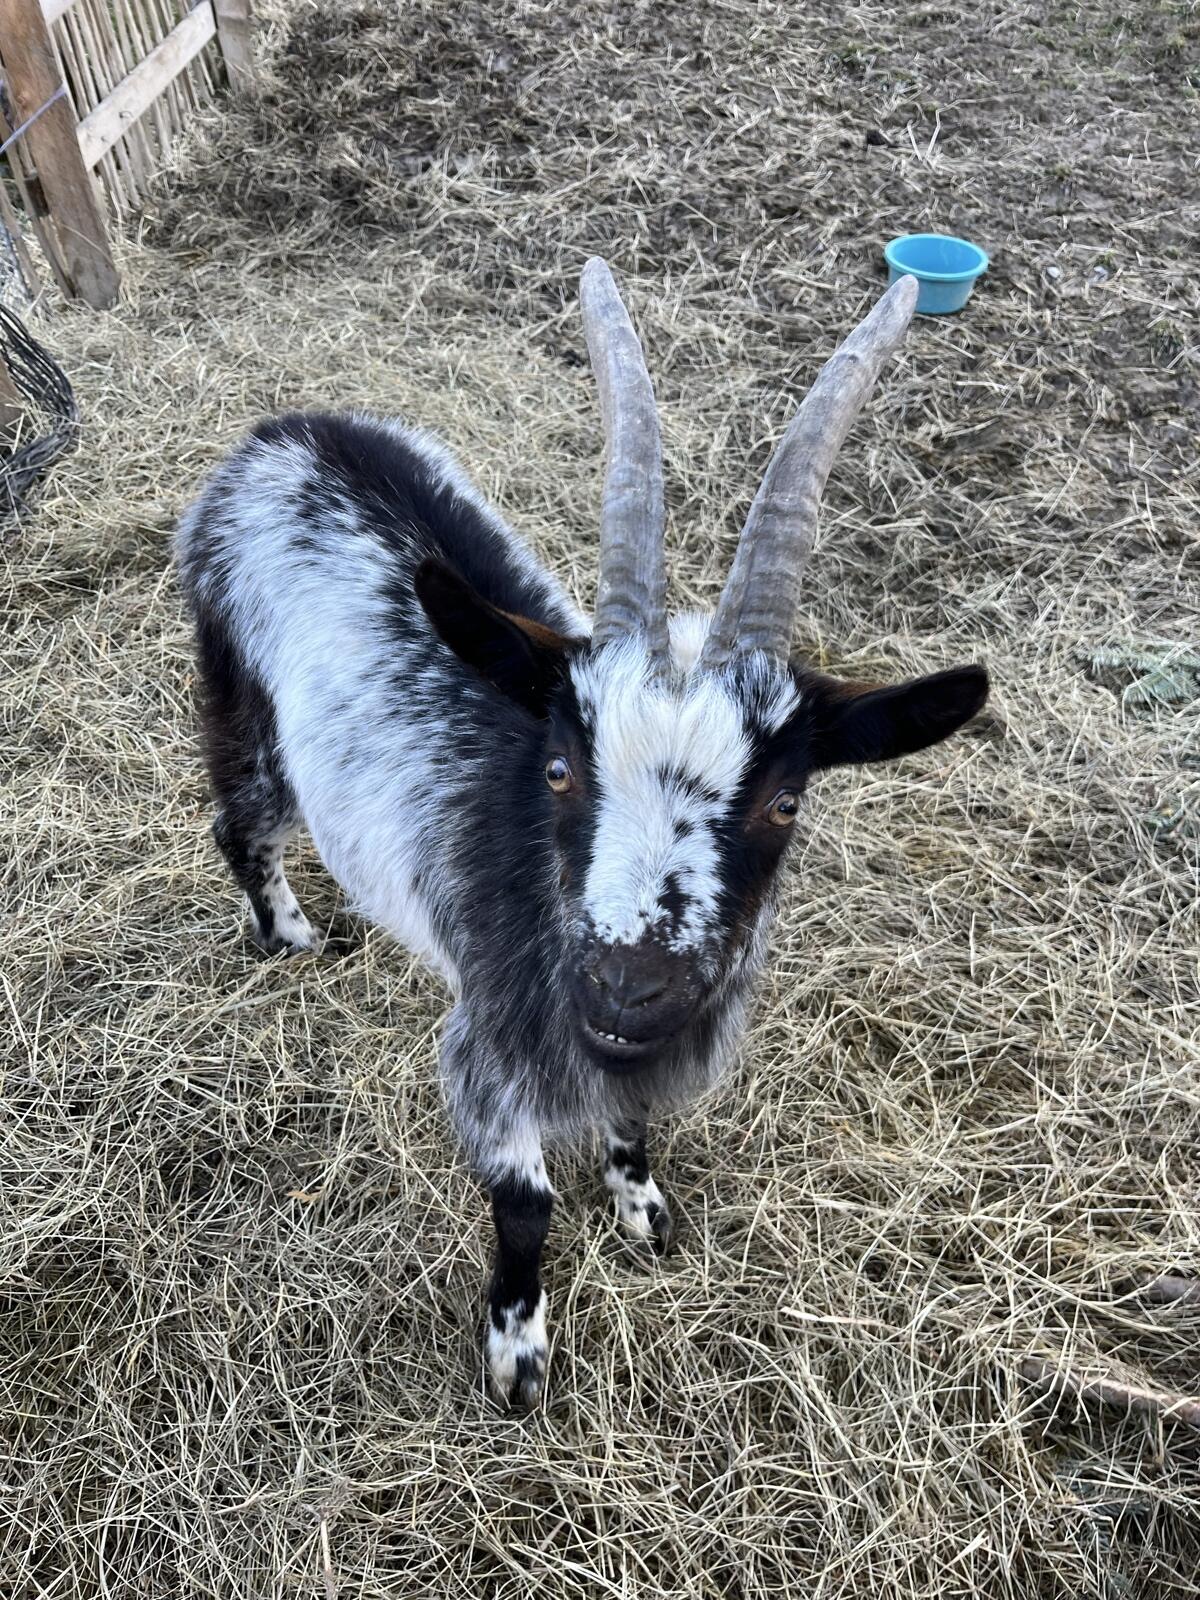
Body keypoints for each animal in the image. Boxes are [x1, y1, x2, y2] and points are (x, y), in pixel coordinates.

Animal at [175, 262, 987, 1406]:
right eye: (559, 767)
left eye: (785, 801)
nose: (624, 986)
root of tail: (280, 432)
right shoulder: (486, 1047)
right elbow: (524, 1205)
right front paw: (517, 1355)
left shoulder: (630, 1056)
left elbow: (635, 1118)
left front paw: (641, 1203)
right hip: (241, 699)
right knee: (239, 820)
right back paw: (287, 934)